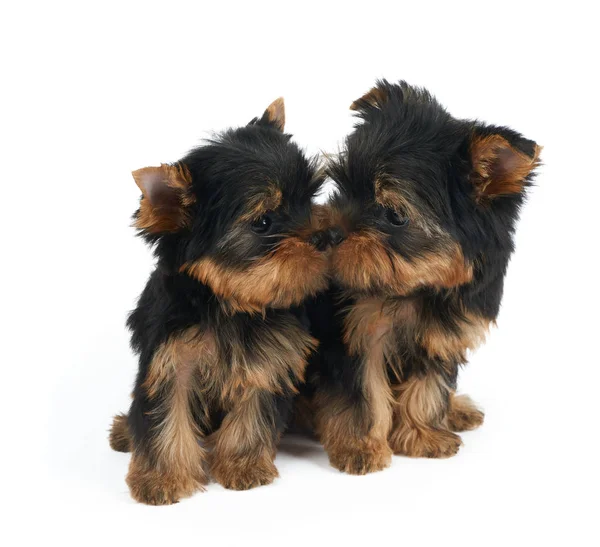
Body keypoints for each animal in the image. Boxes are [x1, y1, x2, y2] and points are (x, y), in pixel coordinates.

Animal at [109, 99, 332, 506]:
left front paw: (243, 464)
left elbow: (255, 409)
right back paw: (124, 431)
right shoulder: (170, 358)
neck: (231, 302)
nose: (328, 235)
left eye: (309, 199)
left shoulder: (270, 355)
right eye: (263, 222)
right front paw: (161, 479)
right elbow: (164, 414)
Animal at [308, 80, 540, 476]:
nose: (329, 234)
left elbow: (428, 387)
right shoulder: (359, 333)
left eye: (395, 215)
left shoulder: (442, 335)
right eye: (343, 187)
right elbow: (363, 393)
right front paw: (361, 447)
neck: (420, 286)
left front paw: (421, 435)